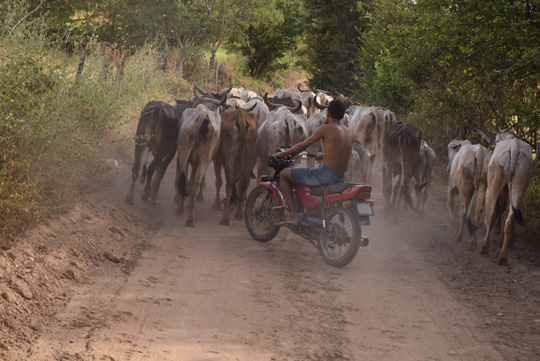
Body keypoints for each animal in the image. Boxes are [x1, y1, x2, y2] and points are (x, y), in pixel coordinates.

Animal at [478, 129, 532, 264]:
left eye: (497, 140)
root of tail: (515, 146)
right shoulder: (508, 196)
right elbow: (503, 216)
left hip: (493, 185)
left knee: (492, 215)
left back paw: (484, 246)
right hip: (519, 187)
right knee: (509, 220)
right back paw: (502, 256)